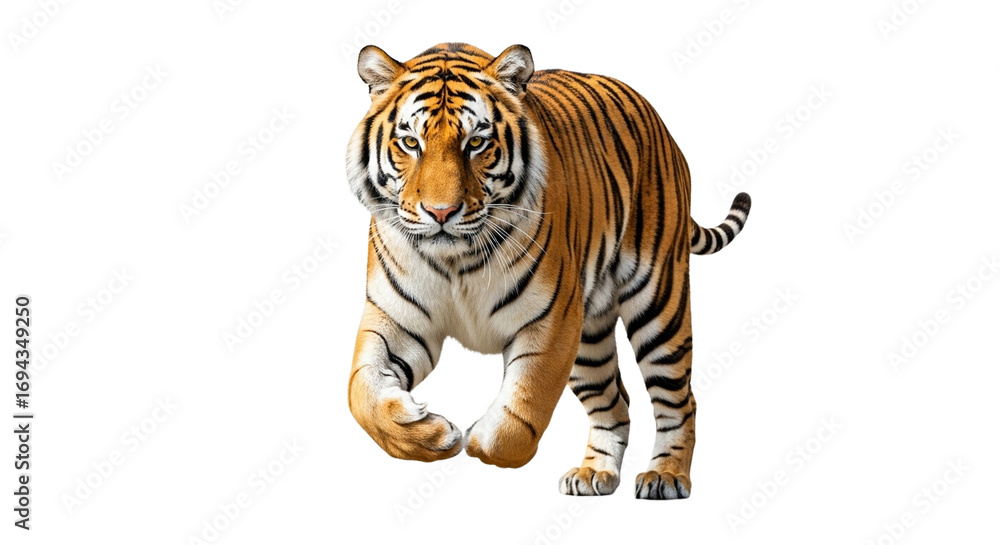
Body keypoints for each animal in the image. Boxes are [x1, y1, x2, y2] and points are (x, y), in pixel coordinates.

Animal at [346, 42, 751, 499]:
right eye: (410, 142)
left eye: (476, 142)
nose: (441, 212)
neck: (456, 262)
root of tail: (661, 123)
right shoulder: (395, 320)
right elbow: (361, 394)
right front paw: (427, 432)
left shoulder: (550, 322)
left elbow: (524, 408)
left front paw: (477, 438)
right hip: (589, 337)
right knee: (616, 402)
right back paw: (595, 473)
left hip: (659, 305)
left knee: (679, 399)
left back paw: (665, 475)